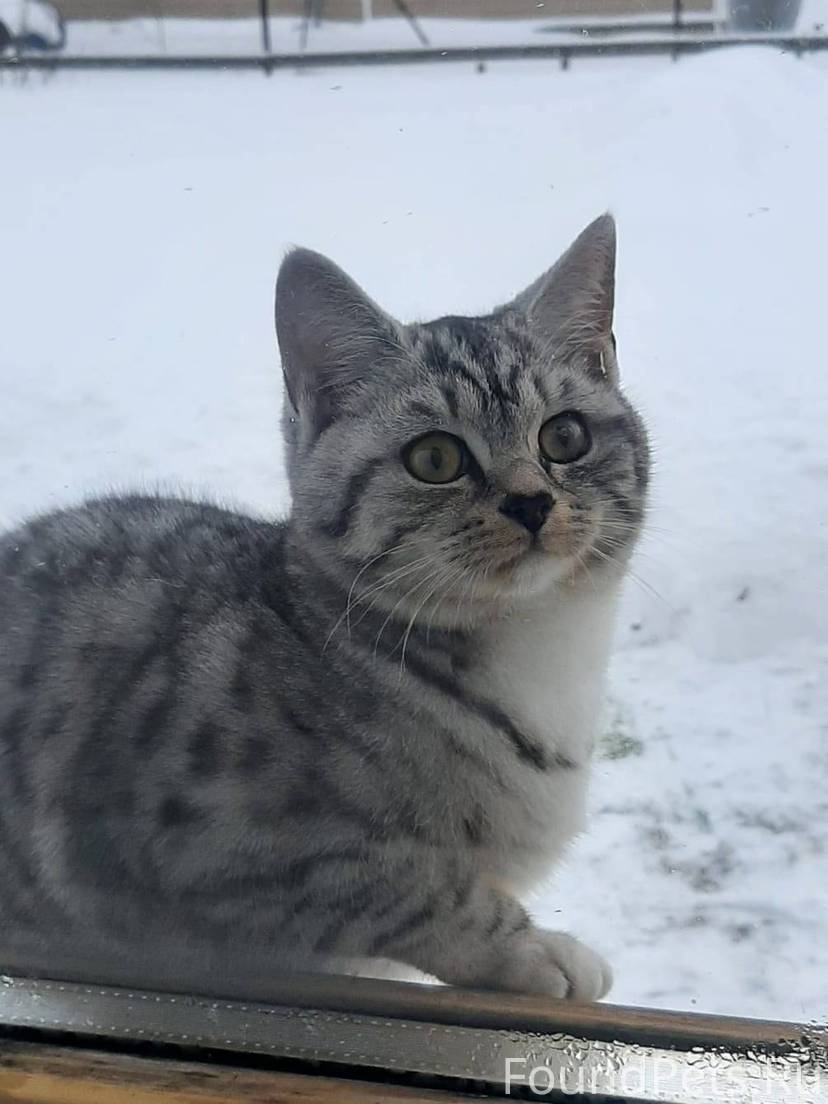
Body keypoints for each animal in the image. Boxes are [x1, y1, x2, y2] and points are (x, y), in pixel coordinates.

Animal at [0, 214, 649, 1001]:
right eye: (435, 458)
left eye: (565, 436)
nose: (530, 502)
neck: (537, 656)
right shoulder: (206, 845)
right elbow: (404, 883)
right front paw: (535, 951)